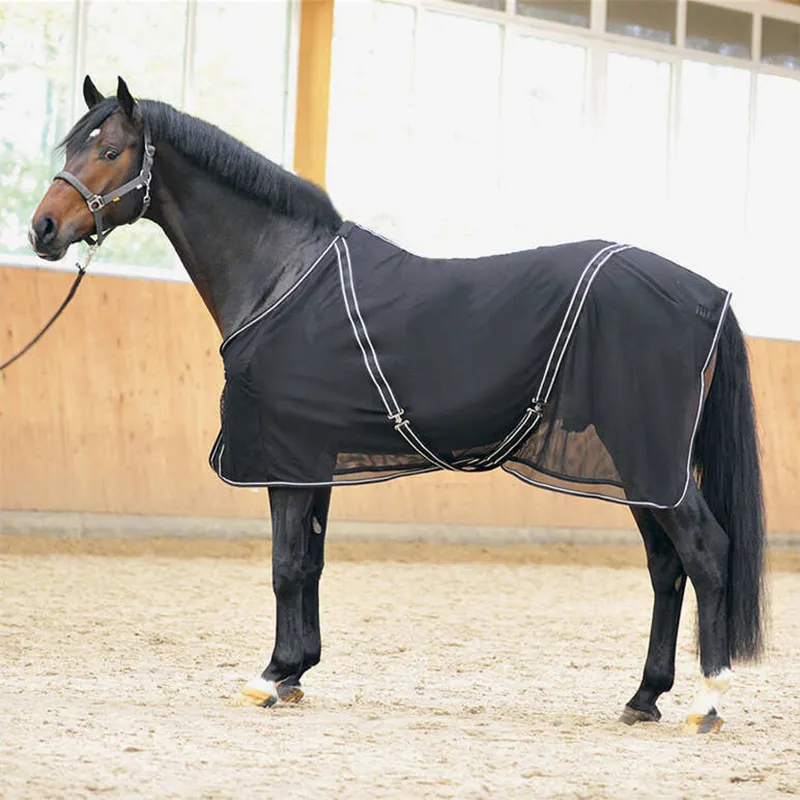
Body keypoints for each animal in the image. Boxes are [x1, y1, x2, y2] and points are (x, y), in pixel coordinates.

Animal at [28, 76, 766, 734]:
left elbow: (285, 567)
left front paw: (269, 678)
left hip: (648, 457)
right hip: (638, 466)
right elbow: (311, 563)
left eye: (111, 150)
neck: (282, 273)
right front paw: (297, 672)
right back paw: (644, 697)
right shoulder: (313, 458)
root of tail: (707, 295)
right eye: (73, 146)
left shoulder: (285, 456)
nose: (42, 229)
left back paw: (707, 701)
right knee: (667, 567)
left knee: (706, 553)